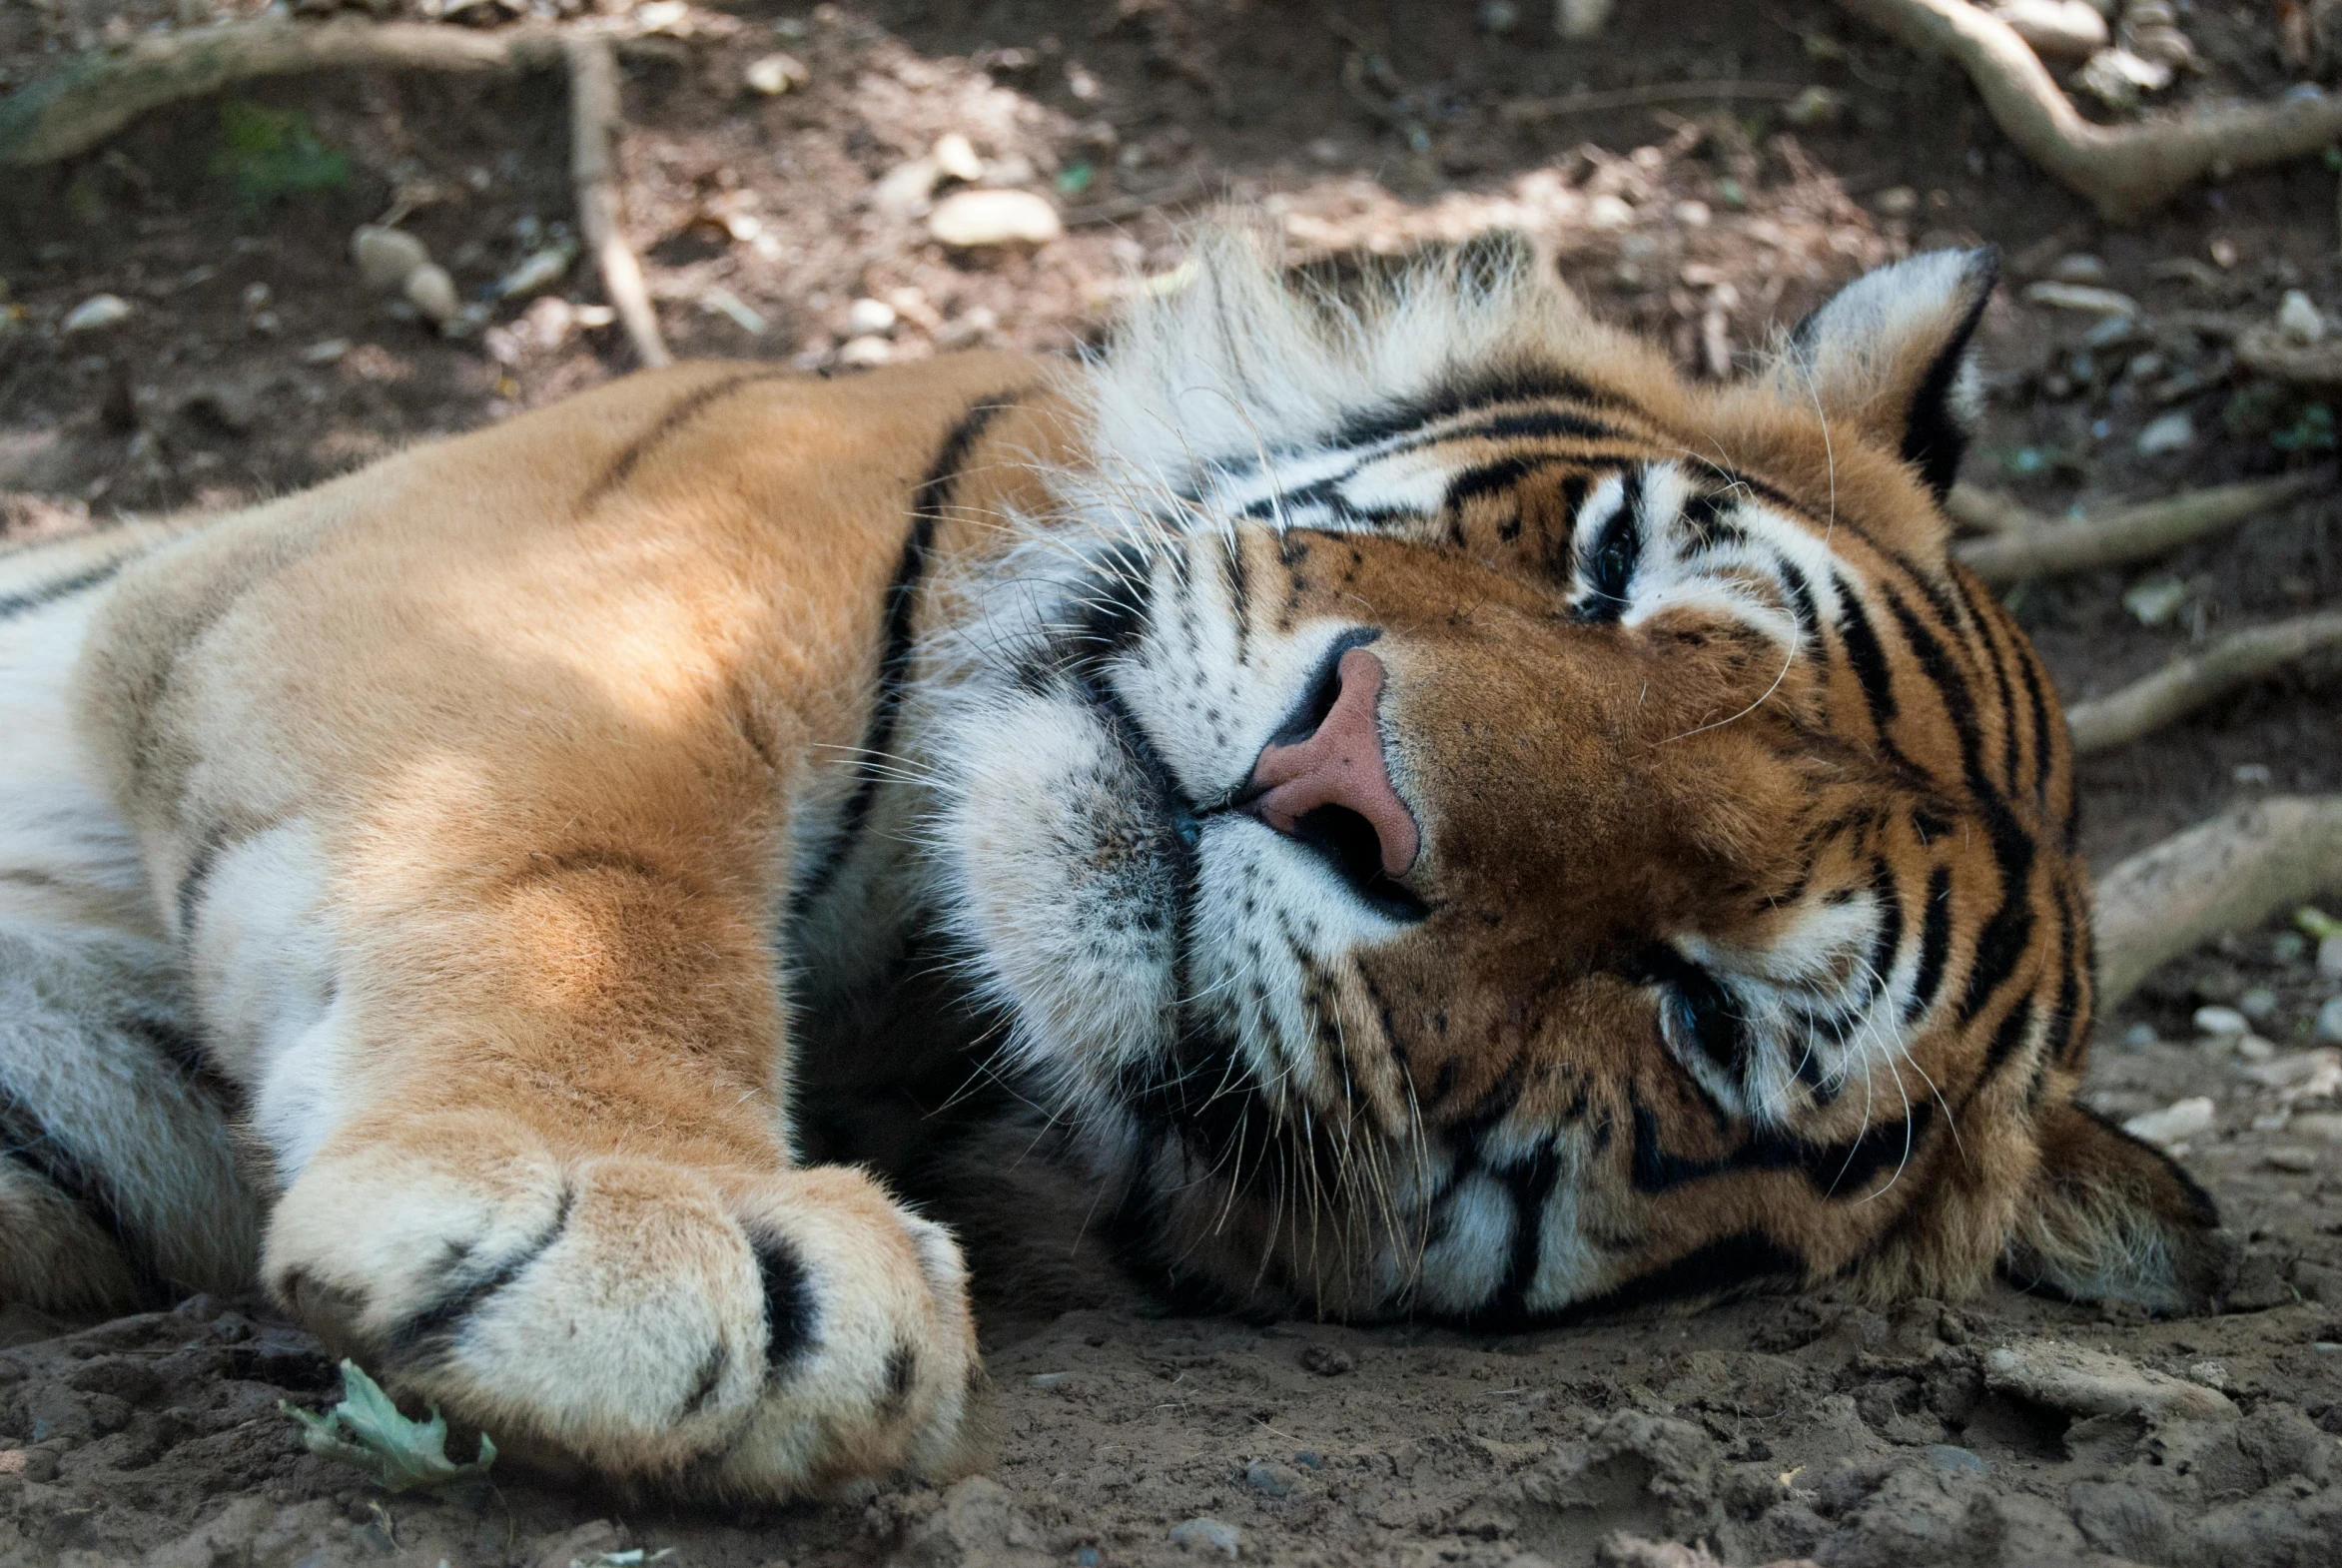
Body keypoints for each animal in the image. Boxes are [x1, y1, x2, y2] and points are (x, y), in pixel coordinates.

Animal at [0, 230, 2229, 1497]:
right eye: (1608, 567)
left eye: (1700, 1008)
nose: (1341, 780)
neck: (932, 1002)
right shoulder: (514, 585)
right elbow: (581, 858)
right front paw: (658, 1223)